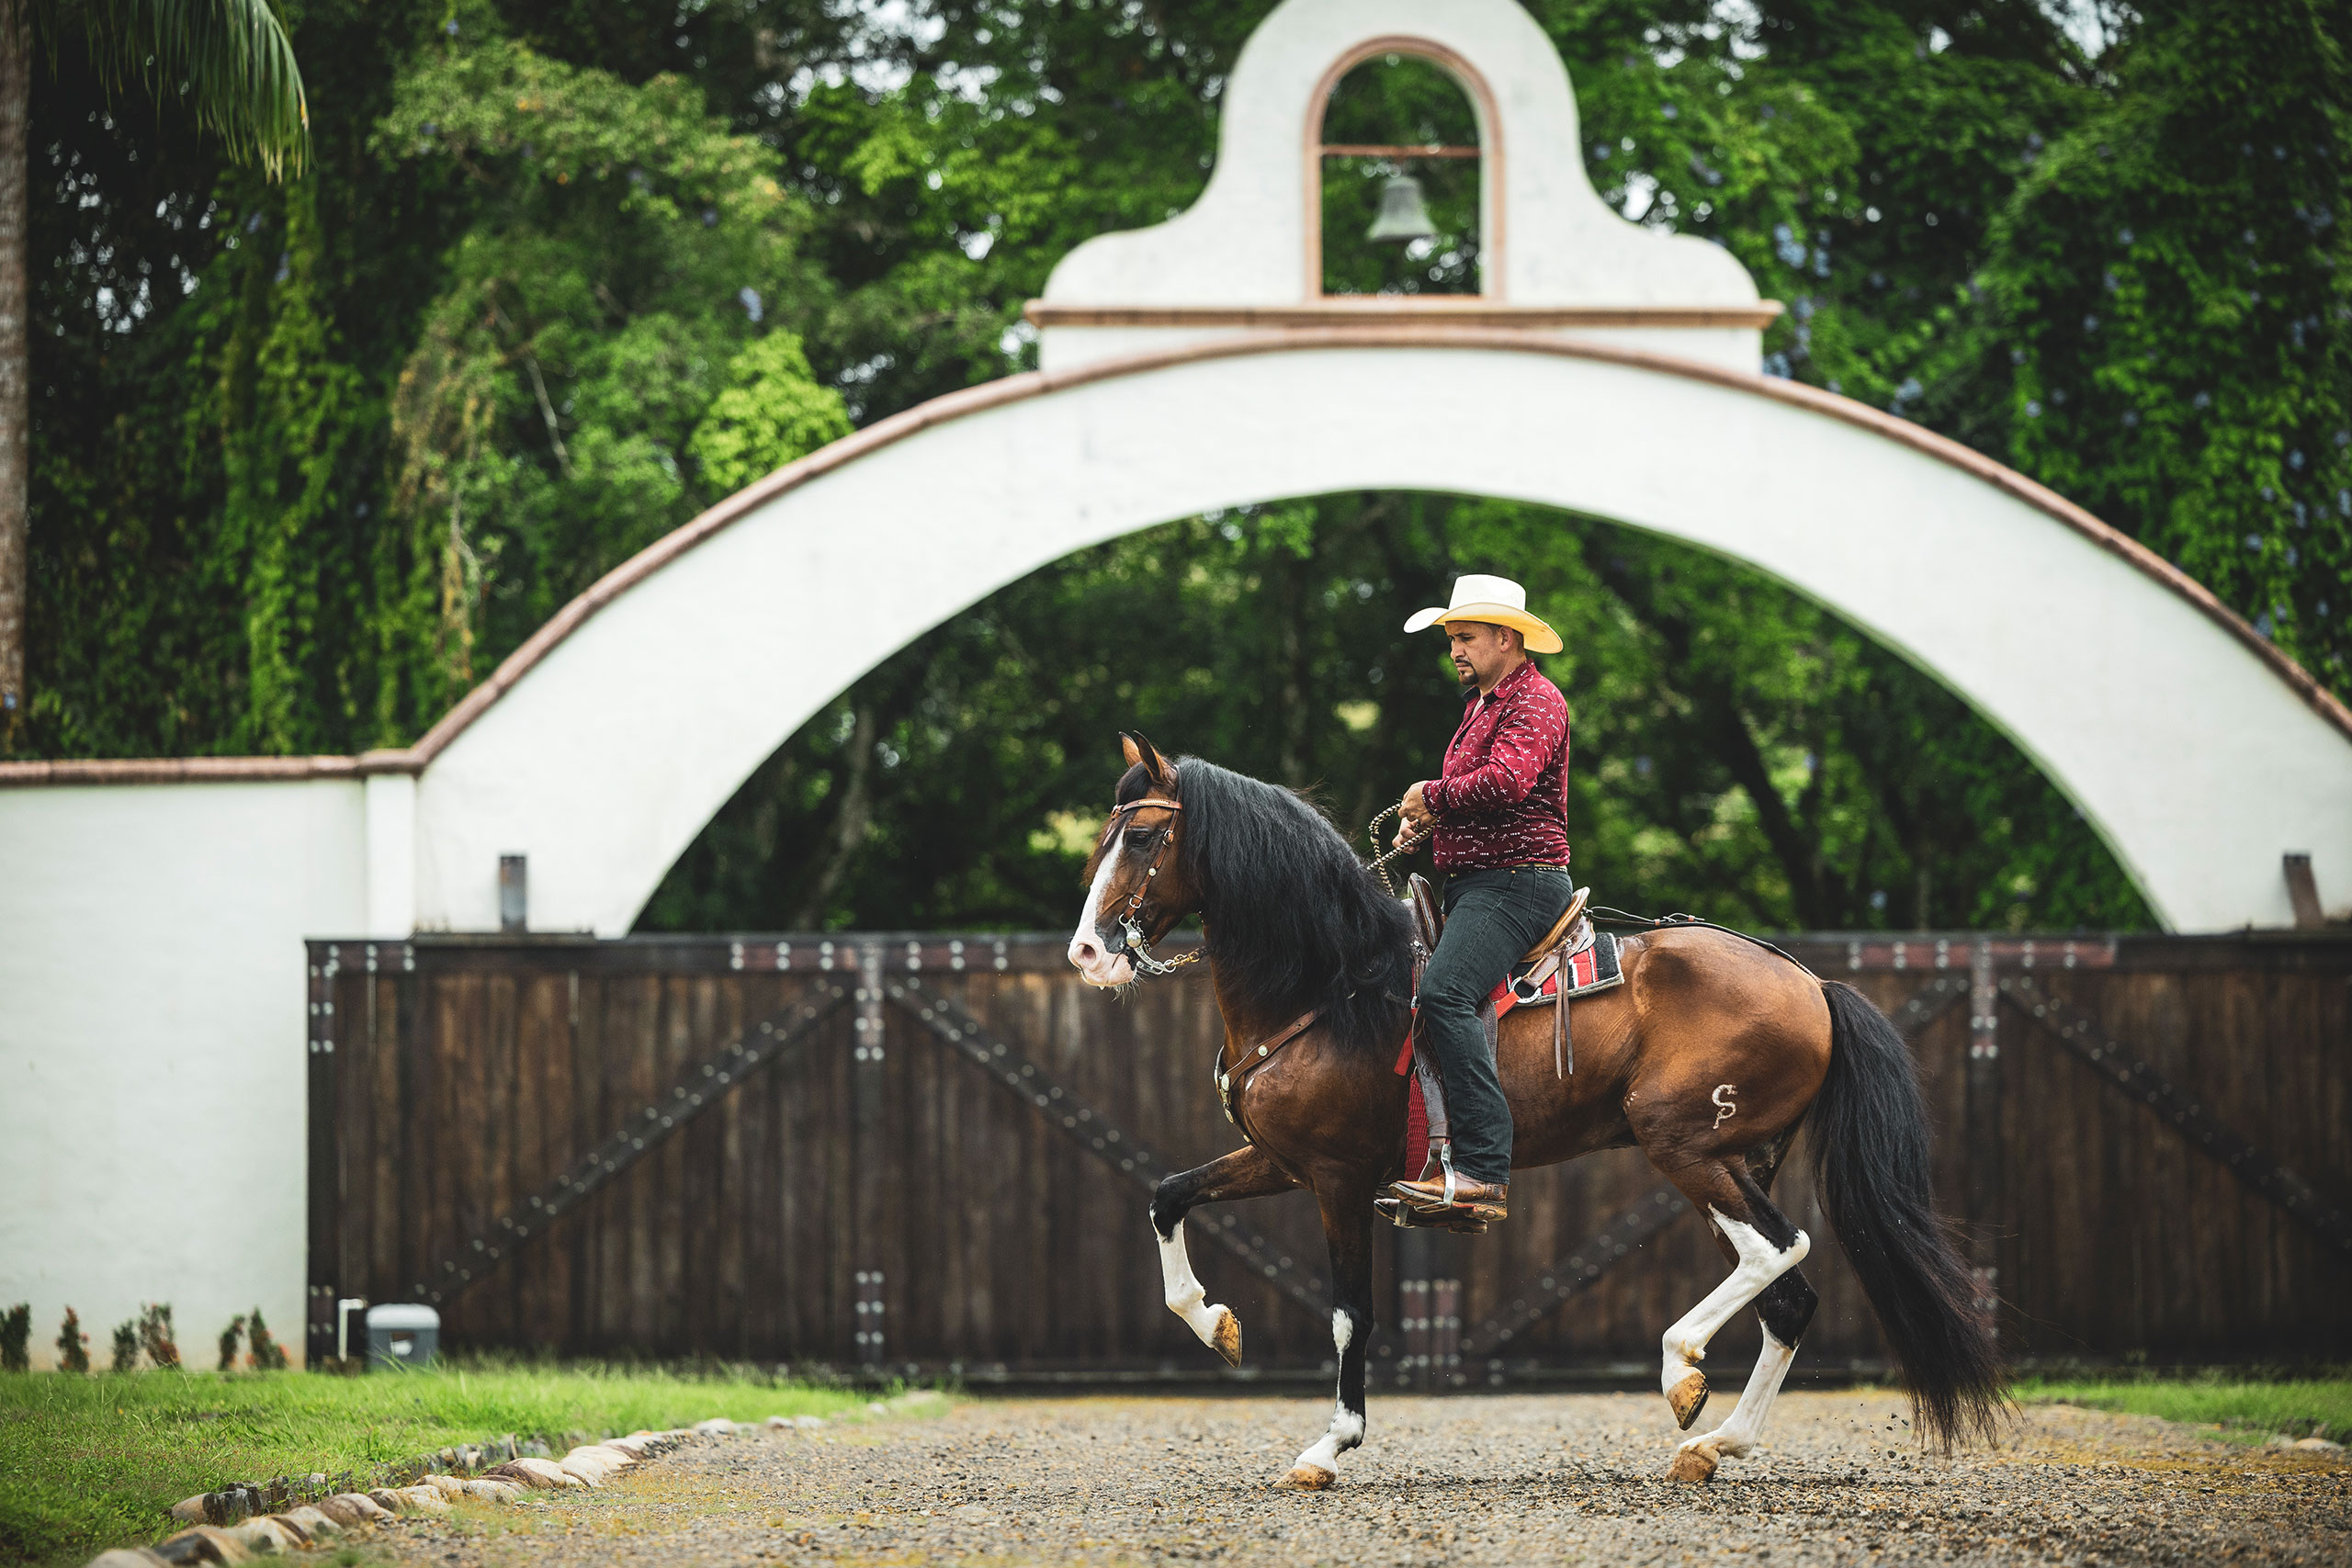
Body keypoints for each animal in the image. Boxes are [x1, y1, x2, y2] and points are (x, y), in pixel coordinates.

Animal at [1068, 728, 2004, 1495]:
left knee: (1782, 1249)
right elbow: (1167, 1195)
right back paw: (1714, 1443)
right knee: (1787, 1293)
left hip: (1683, 1144)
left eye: (1143, 837)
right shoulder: (1280, 1158)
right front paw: (1215, 1324)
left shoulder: (1337, 1176)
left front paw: (1329, 1445)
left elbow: (1348, 1312)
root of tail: (1811, 982)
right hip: (1733, 1162)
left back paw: (1681, 1366)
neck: (1333, 984)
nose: (1086, 950)